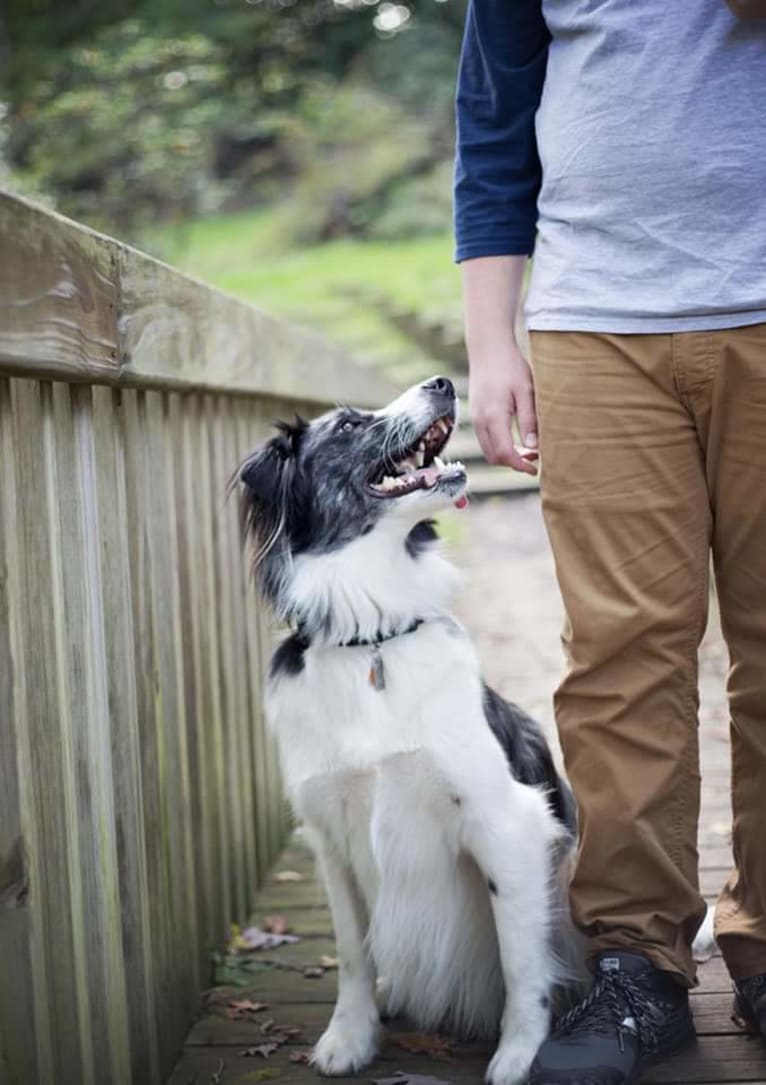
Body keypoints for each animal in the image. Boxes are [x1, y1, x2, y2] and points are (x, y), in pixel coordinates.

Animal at [235, 375, 581, 1085]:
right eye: (346, 426)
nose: (444, 383)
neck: (373, 639)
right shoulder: (330, 839)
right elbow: (351, 954)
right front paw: (349, 1037)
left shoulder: (505, 822)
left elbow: (521, 962)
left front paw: (519, 1056)